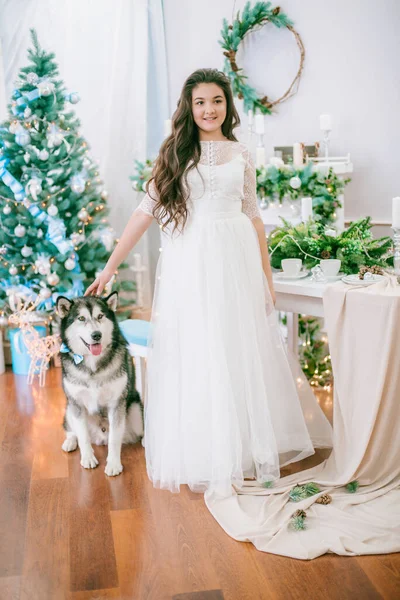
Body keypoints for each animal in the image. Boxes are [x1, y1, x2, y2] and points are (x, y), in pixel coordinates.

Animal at [55, 292, 144, 476]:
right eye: (81, 318)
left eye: (100, 316)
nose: (96, 335)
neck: (92, 365)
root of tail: (100, 438)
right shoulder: (76, 404)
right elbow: (83, 437)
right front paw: (88, 458)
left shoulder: (117, 404)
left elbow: (114, 439)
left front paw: (114, 464)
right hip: (69, 408)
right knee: (71, 430)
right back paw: (70, 442)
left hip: (135, 412)